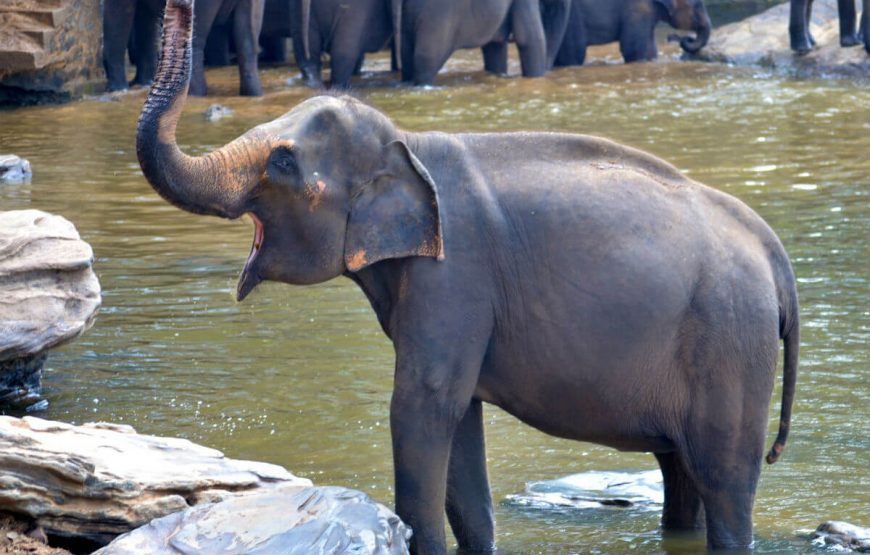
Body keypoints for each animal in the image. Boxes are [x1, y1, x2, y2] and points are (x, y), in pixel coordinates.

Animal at [103, 0, 266, 94]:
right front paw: (144, 83)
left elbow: (120, 14)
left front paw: (118, 89)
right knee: (247, 40)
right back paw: (254, 94)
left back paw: (194, 94)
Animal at [556, 0, 712, 67]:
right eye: (697, 5)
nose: (671, 37)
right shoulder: (637, 10)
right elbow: (632, 49)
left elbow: (650, 50)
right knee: (574, 54)